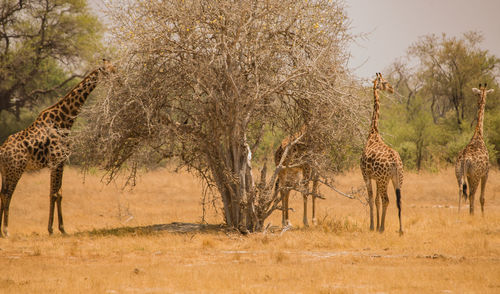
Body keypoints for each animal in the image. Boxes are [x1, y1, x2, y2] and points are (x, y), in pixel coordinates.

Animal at [0, 59, 114, 237]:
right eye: (109, 71)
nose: (119, 79)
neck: (64, 120)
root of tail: (2, 151)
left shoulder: (59, 162)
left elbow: (57, 193)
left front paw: (59, 229)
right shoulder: (57, 160)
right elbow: (55, 193)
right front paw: (54, 229)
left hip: (5, 171)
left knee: (1, 193)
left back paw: (1, 231)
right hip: (15, 169)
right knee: (8, 194)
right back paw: (6, 231)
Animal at [360, 73, 402, 234]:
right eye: (385, 82)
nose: (391, 88)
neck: (373, 133)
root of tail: (395, 161)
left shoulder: (366, 175)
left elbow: (372, 199)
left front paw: (373, 226)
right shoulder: (376, 178)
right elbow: (376, 200)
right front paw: (376, 224)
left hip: (385, 179)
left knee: (387, 200)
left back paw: (382, 228)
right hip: (397, 178)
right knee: (398, 200)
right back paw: (400, 230)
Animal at [456, 84, 494, 215]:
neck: (478, 133)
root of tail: (464, 159)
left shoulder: (468, 175)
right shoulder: (486, 173)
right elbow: (482, 198)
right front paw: (483, 216)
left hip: (459, 173)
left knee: (461, 190)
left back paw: (459, 214)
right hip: (476, 176)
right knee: (472, 194)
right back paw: (471, 215)